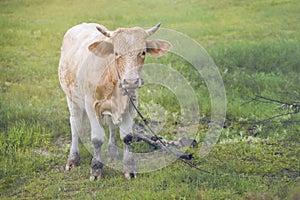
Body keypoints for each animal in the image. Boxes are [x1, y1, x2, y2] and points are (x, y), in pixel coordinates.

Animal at [58, 22, 171, 180]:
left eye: (143, 52)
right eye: (116, 53)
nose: (131, 81)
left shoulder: (130, 105)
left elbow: (127, 137)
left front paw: (129, 169)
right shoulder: (91, 105)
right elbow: (97, 139)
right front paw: (96, 169)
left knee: (111, 124)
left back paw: (112, 151)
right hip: (72, 98)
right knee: (75, 125)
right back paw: (73, 158)